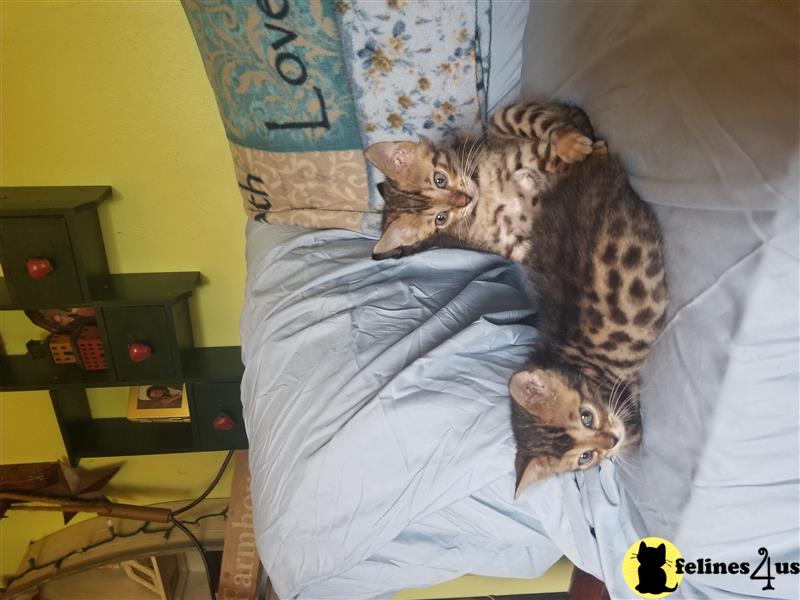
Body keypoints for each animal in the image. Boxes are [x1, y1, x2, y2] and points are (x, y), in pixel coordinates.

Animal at [366, 101, 664, 494]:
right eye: (439, 219)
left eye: (439, 179)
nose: (464, 198)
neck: (483, 198)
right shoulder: (518, 245)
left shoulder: (522, 159)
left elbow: (545, 136)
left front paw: (571, 147)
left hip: (501, 121)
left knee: (535, 116)